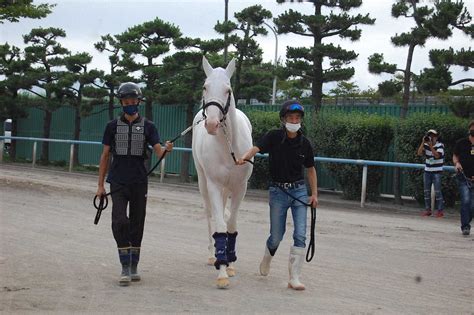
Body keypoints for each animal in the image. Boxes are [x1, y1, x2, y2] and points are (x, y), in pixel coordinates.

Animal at [192, 56, 254, 288]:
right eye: (205, 87)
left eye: (228, 90)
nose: (211, 124)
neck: (228, 147)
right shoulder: (214, 186)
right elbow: (219, 224)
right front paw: (222, 272)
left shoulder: (240, 188)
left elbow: (231, 223)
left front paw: (231, 263)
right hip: (203, 183)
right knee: (209, 214)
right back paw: (212, 257)